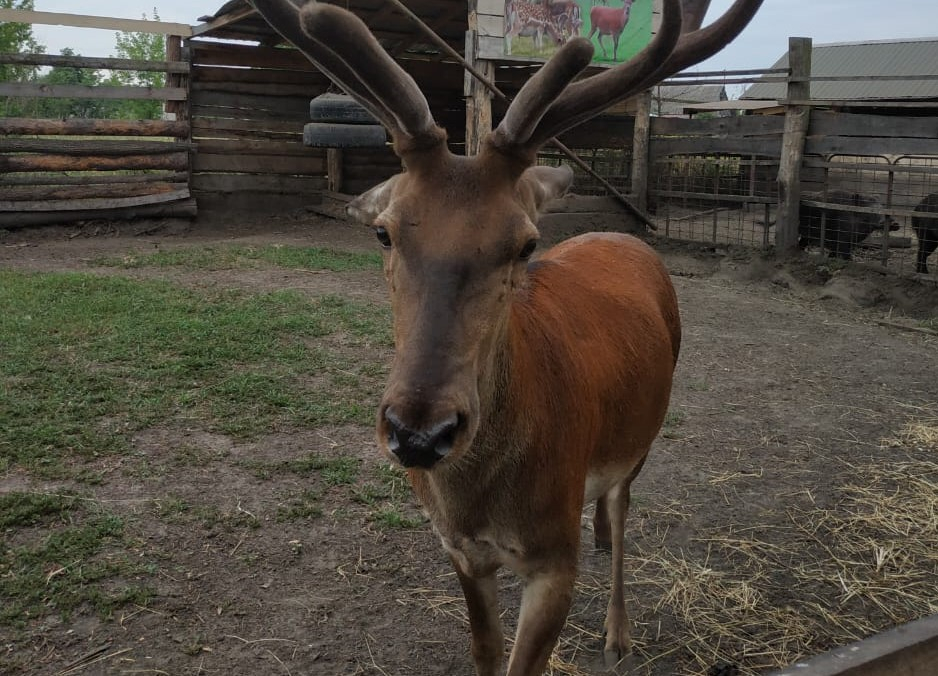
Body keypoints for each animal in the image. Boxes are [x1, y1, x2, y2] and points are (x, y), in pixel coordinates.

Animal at [249, 0, 760, 672]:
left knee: (622, 507)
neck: (478, 499)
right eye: (384, 232)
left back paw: (618, 629)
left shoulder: (554, 558)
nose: (420, 433)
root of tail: (625, 236)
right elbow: (485, 650)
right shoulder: (459, 550)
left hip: (642, 437)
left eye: (525, 244)